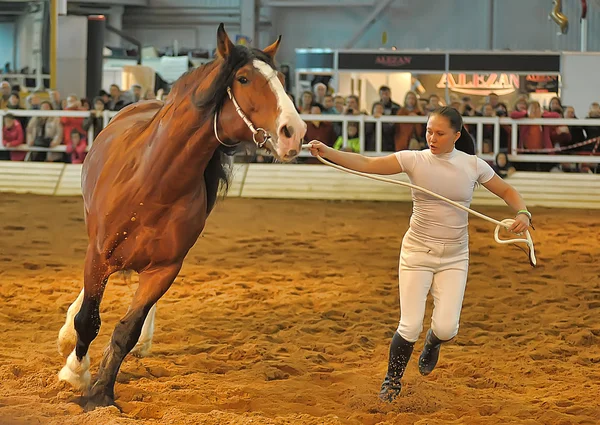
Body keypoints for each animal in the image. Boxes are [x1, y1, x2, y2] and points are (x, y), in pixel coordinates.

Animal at [54, 24, 308, 410]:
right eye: (244, 78)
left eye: (280, 79)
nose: (294, 131)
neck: (152, 182)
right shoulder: (98, 254)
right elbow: (89, 320)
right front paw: (75, 373)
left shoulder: (165, 269)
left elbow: (126, 331)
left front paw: (101, 392)